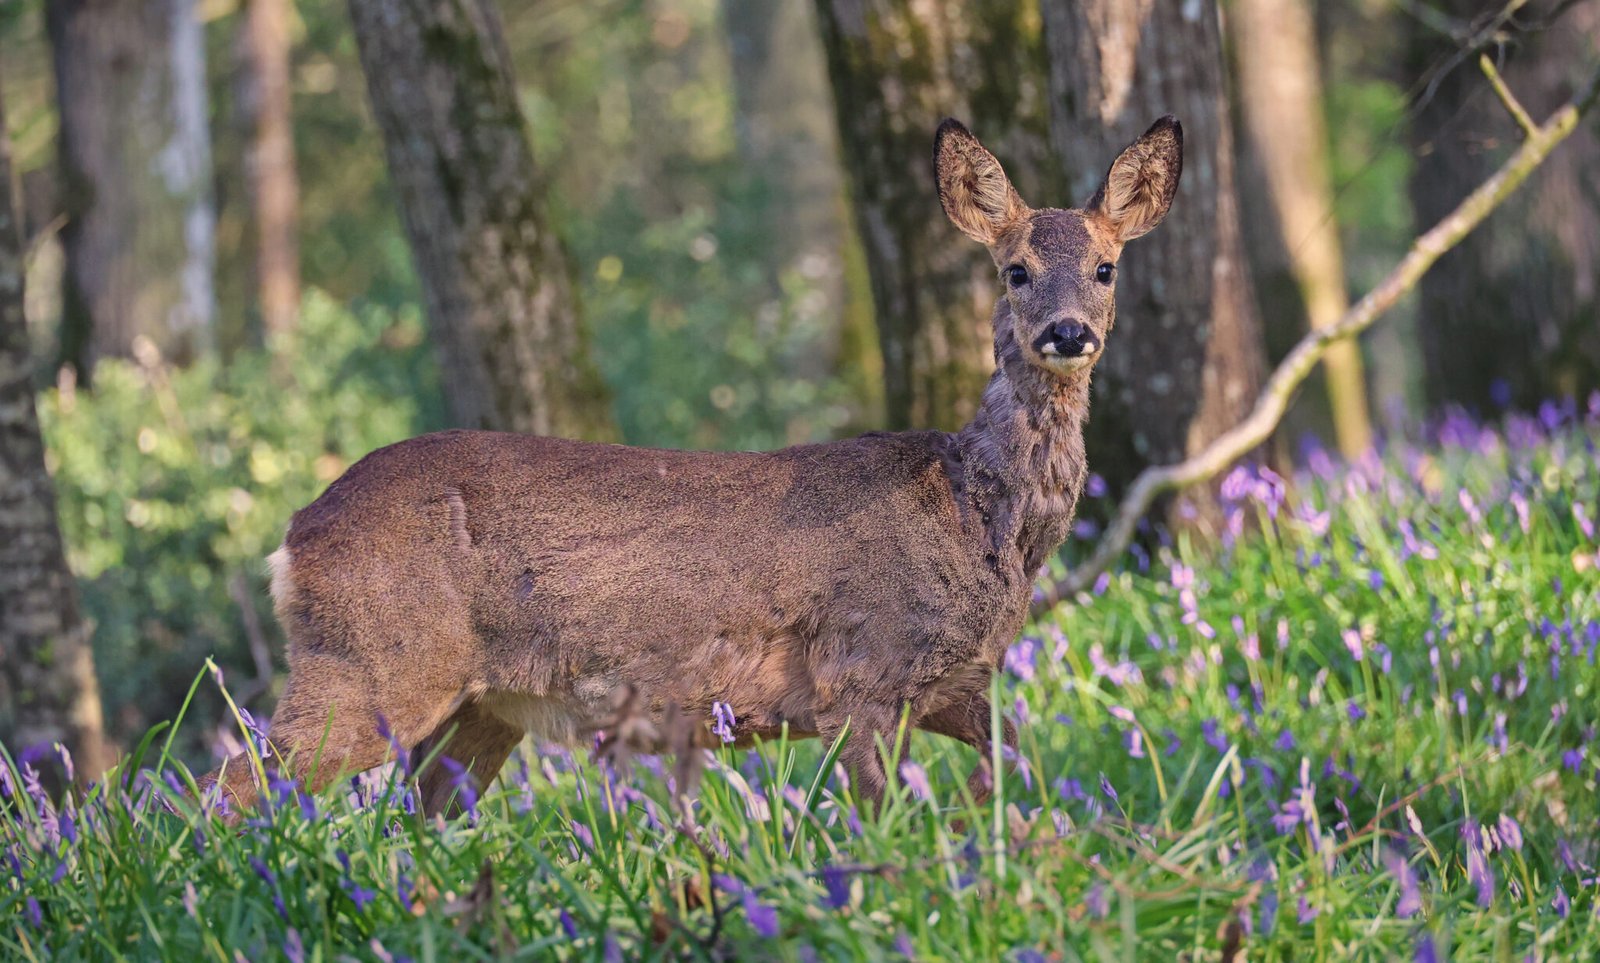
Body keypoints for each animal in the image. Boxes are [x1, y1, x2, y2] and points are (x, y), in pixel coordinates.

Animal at [200, 112, 1184, 815]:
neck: (978, 516)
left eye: (1105, 266)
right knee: (227, 789)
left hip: (476, 709)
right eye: (1016, 269)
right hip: (372, 663)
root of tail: (294, 535)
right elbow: (889, 819)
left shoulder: (961, 683)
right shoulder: (860, 671)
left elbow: (1013, 785)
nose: (1069, 332)